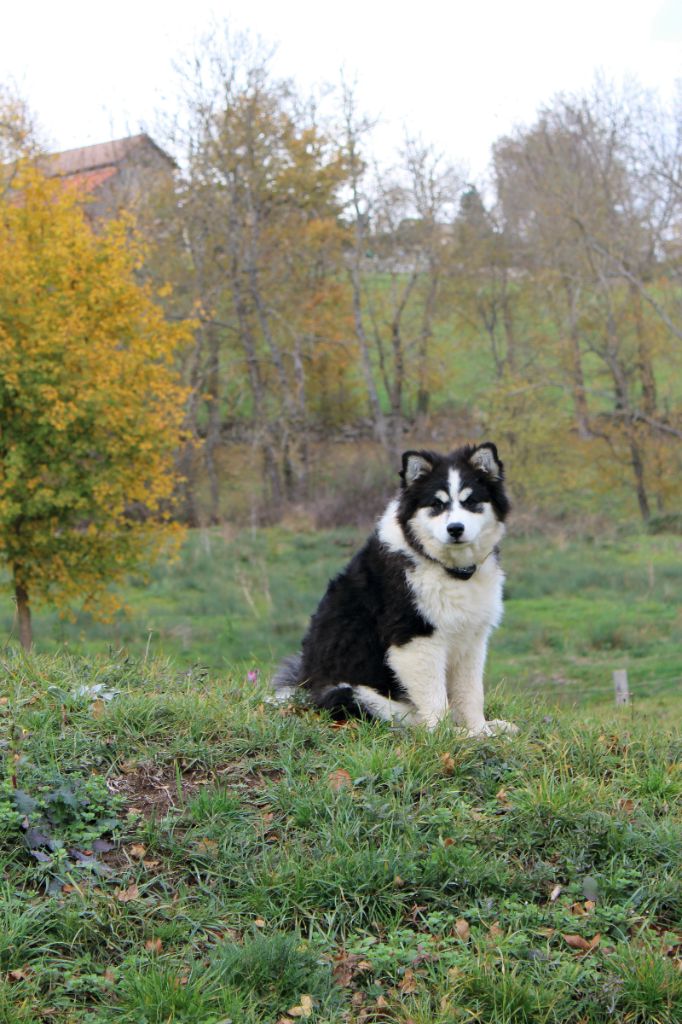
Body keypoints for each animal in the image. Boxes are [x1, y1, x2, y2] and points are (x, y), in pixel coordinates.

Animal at [270, 442, 516, 737]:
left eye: (470, 501)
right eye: (436, 504)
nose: (455, 529)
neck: (443, 566)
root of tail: (302, 688)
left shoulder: (472, 639)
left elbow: (471, 694)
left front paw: (481, 732)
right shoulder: (415, 640)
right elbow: (436, 701)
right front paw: (448, 737)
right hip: (348, 692)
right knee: (404, 718)